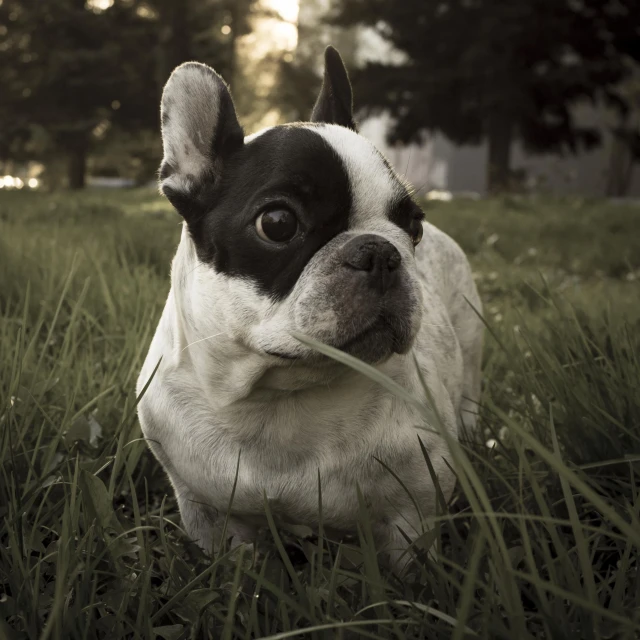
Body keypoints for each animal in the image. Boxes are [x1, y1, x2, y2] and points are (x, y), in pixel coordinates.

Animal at [138, 45, 482, 568]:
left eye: (415, 227)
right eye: (278, 223)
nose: (381, 252)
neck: (280, 397)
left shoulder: (413, 513)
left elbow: (409, 570)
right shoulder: (208, 514)